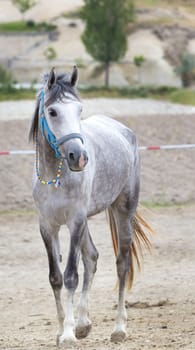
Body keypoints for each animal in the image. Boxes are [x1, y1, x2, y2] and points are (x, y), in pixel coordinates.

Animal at [29, 67, 152, 346]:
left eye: (79, 110)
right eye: (52, 111)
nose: (80, 157)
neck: (56, 175)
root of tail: (122, 129)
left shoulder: (74, 221)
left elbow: (70, 276)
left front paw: (67, 335)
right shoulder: (48, 226)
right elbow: (56, 277)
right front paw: (63, 329)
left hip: (122, 210)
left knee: (122, 263)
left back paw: (119, 329)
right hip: (85, 220)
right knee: (92, 257)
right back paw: (84, 324)